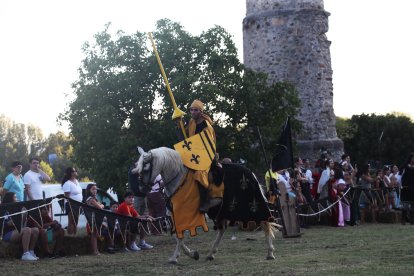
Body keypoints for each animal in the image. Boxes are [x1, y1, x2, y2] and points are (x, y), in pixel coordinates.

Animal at [134, 147, 280, 264]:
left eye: (146, 168)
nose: (141, 189)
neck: (178, 178)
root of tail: (250, 173)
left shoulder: (184, 213)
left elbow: (180, 235)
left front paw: (176, 257)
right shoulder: (173, 214)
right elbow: (177, 235)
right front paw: (191, 254)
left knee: (265, 223)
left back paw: (270, 252)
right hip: (222, 209)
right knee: (222, 230)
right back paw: (211, 254)